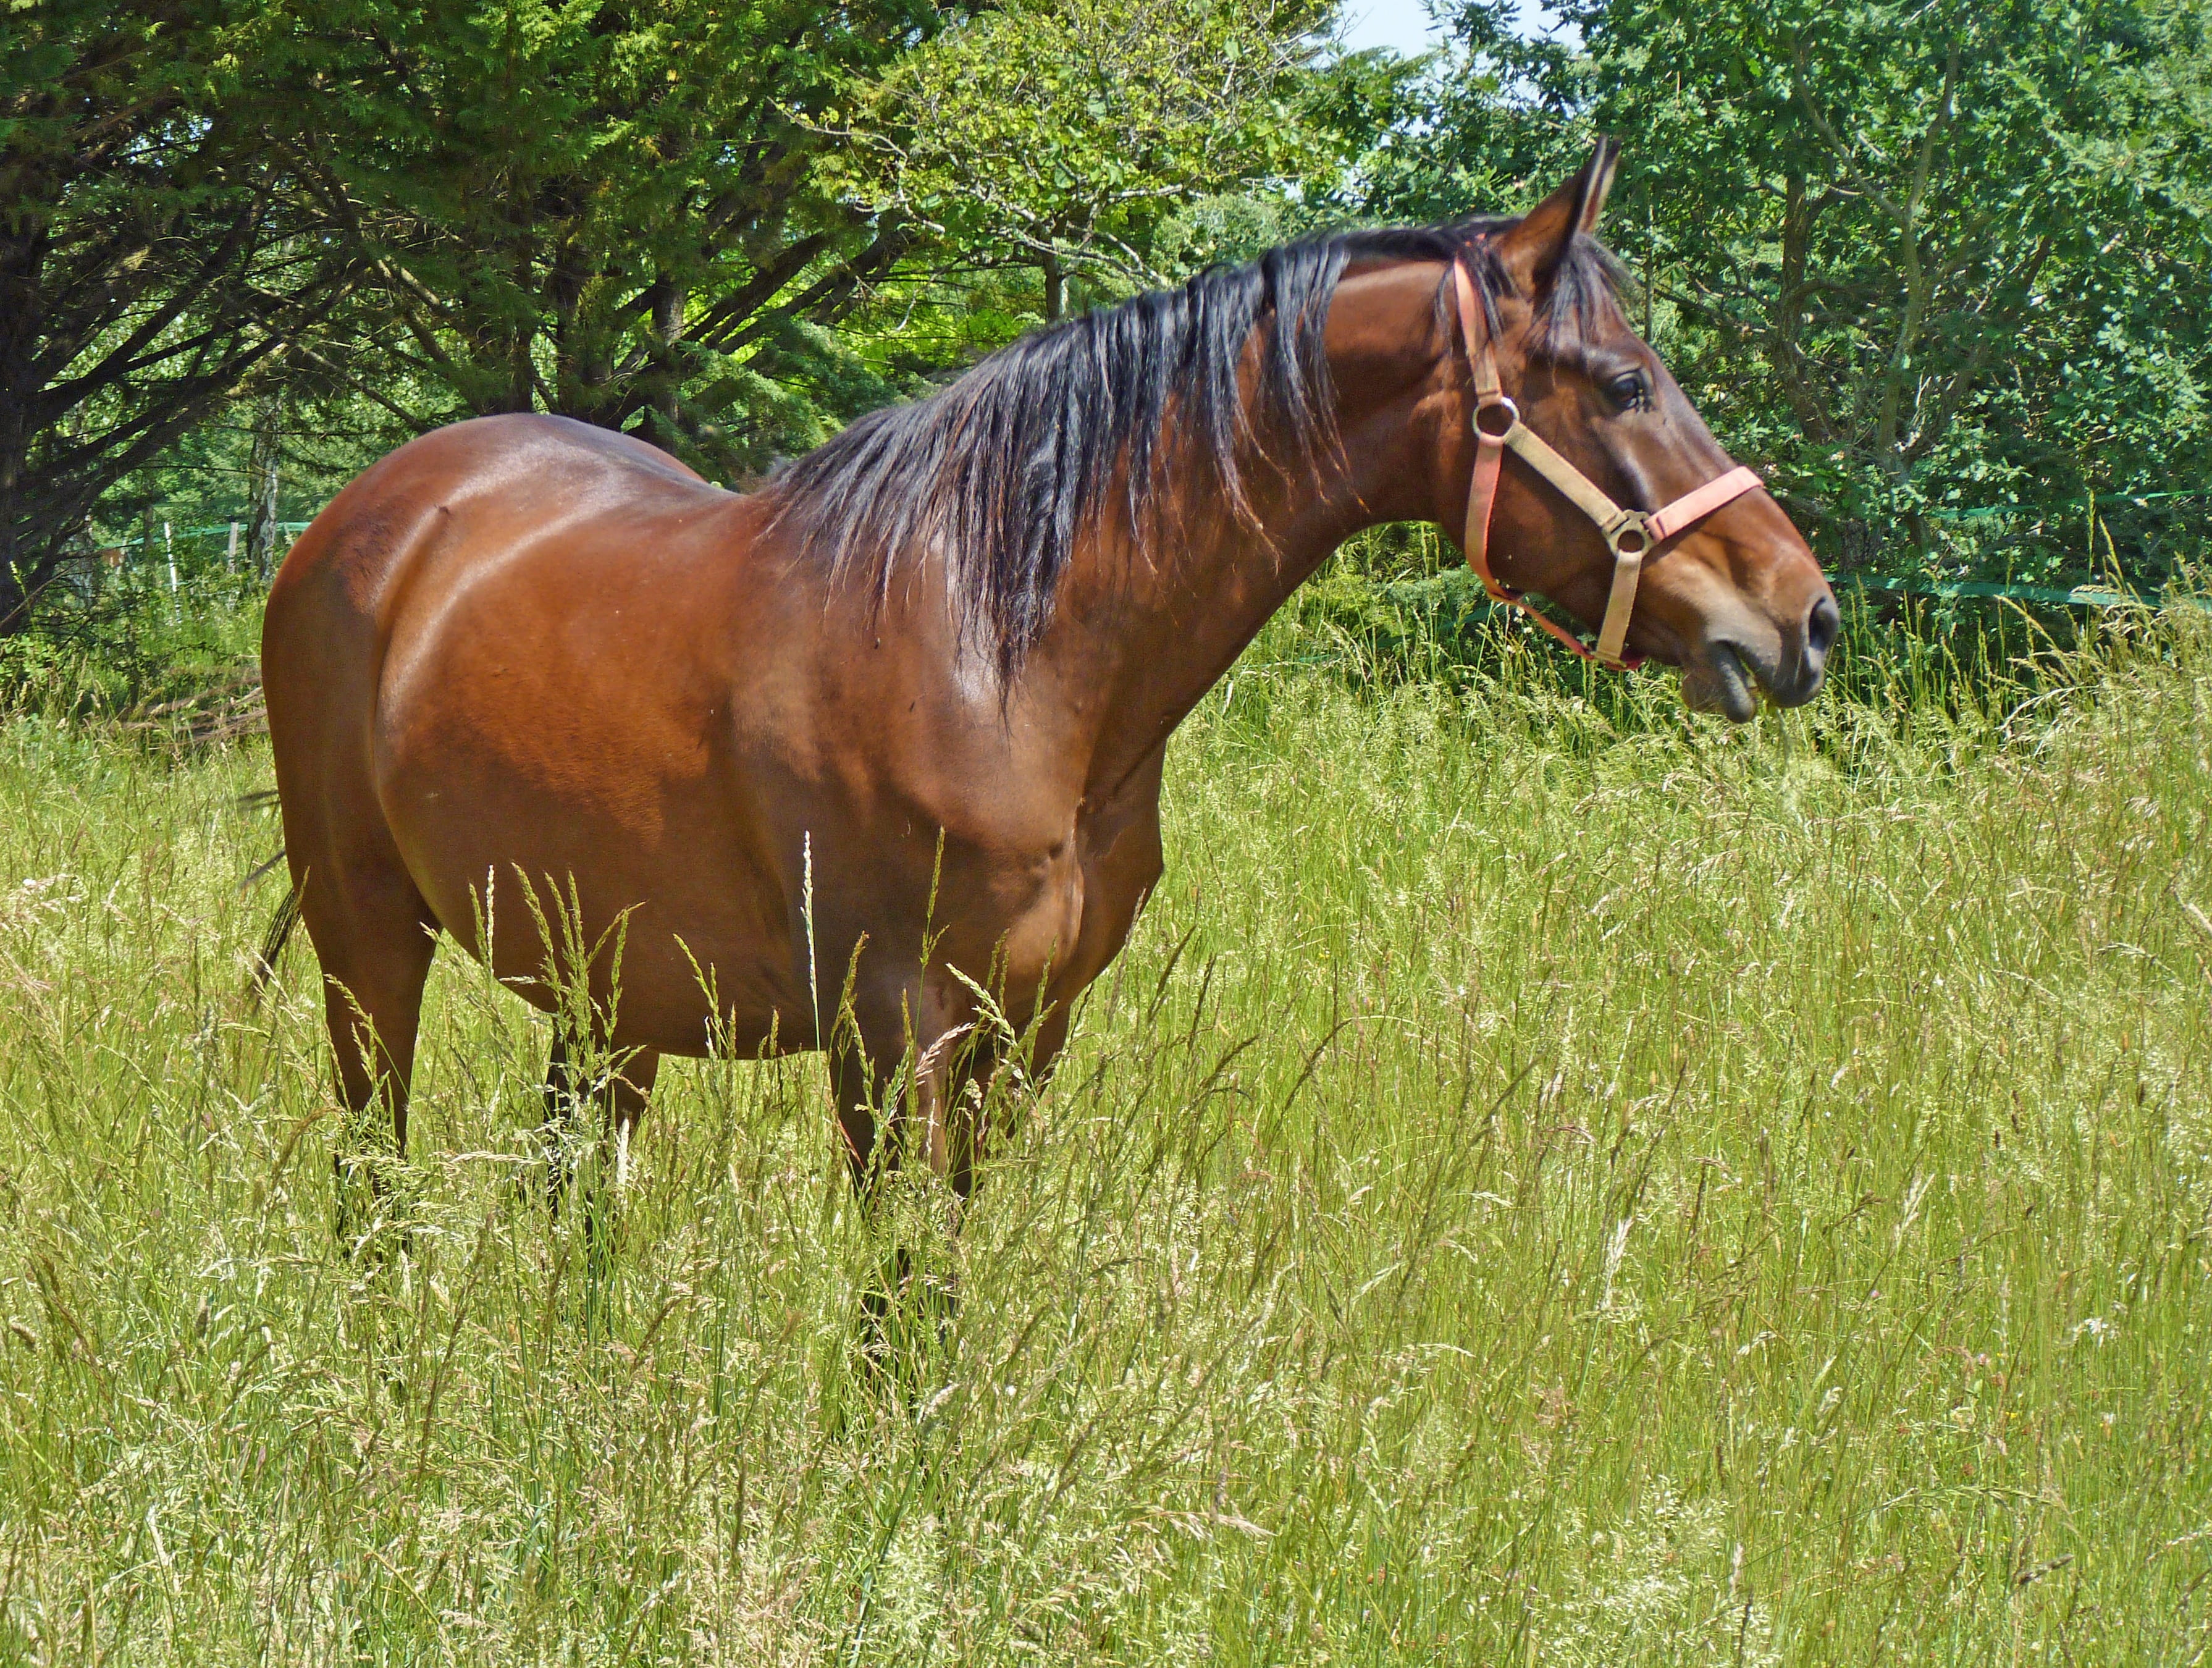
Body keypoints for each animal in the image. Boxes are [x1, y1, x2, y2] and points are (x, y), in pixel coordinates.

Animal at [261, 142, 1838, 1211]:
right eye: (1622, 383)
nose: (1803, 617)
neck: (1000, 645)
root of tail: (374, 517)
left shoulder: (1027, 1036)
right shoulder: (893, 1036)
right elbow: (901, 1306)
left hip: (608, 994)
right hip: (367, 943)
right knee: (370, 1183)